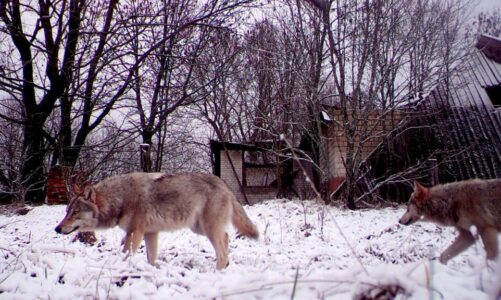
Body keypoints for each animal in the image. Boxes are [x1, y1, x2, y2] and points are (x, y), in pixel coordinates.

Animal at [54, 172, 258, 270]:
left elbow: (127, 254)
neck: (121, 198)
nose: (57, 228)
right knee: (226, 237)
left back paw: (217, 272)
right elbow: (150, 259)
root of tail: (224, 184)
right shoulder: (150, 233)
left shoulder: (135, 233)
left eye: (75, 212)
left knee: (222, 250)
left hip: (207, 230)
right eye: (66, 212)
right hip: (199, 229)